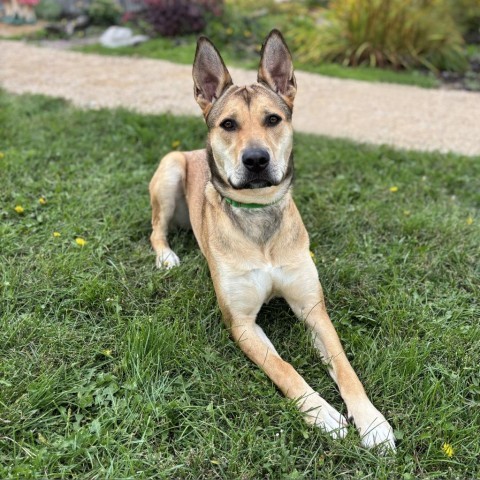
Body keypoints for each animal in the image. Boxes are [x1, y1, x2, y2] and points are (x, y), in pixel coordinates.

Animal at [148, 29, 396, 450]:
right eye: (228, 124)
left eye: (273, 119)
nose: (256, 160)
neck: (258, 214)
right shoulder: (242, 323)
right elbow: (283, 368)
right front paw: (323, 414)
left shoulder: (312, 308)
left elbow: (345, 367)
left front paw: (372, 421)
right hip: (169, 169)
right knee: (155, 229)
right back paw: (166, 257)